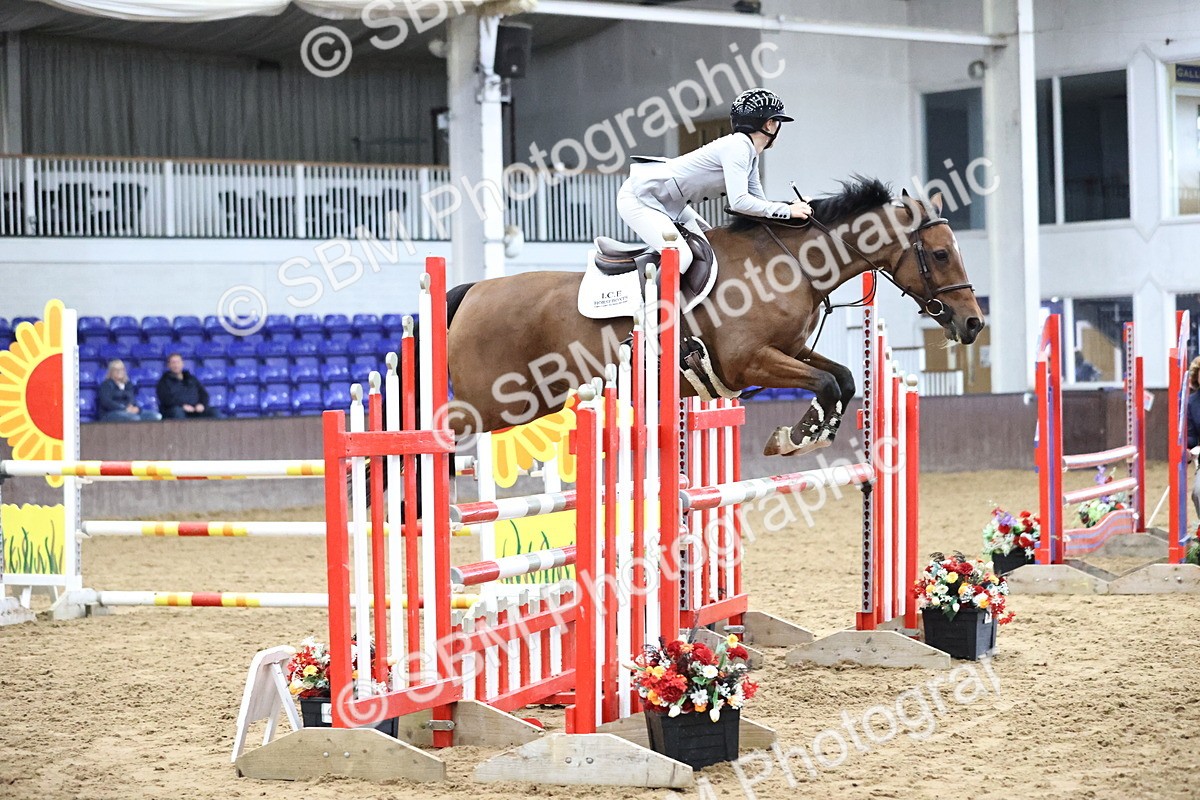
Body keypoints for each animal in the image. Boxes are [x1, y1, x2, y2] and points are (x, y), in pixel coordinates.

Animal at [446, 177, 984, 457]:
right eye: (940, 254)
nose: (974, 324)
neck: (789, 263)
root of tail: (474, 292)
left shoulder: (788, 351)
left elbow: (844, 379)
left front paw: (802, 435)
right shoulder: (748, 362)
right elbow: (828, 384)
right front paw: (795, 439)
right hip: (491, 404)